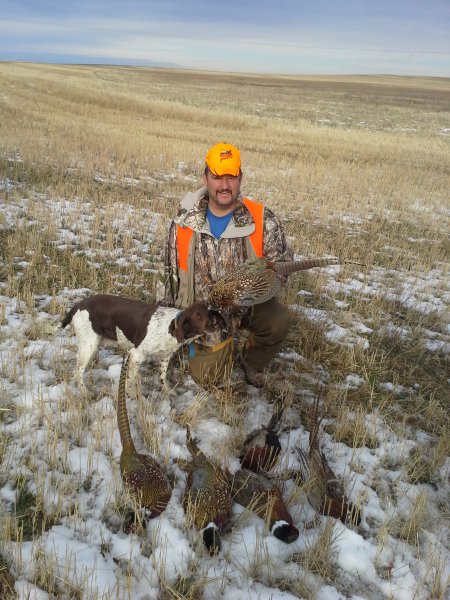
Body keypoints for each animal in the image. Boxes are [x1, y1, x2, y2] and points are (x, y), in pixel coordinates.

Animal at [61, 296, 223, 394]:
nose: (215, 325)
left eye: (210, 313)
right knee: (77, 372)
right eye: (197, 315)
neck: (169, 327)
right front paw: (129, 395)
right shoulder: (136, 355)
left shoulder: (165, 356)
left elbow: (162, 376)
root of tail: (78, 305)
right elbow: (130, 379)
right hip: (88, 346)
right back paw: (85, 392)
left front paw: (166, 390)